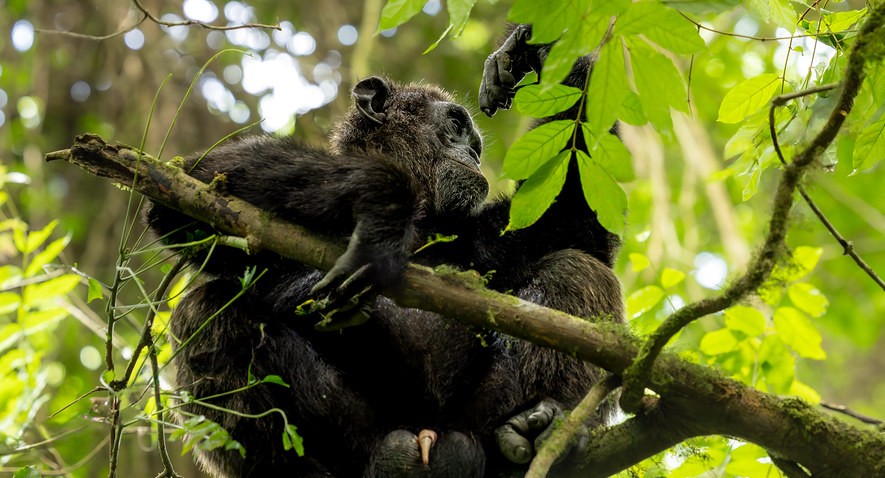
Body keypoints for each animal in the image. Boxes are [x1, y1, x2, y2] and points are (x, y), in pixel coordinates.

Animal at [146, 23, 623, 478]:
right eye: (454, 125)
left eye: (475, 144)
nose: (473, 153)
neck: (427, 219)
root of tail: (427, 439)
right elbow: (193, 189)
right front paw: (381, 201)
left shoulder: (493, 234)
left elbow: (574, 221)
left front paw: (531, 51)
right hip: (354, 431)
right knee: (207, 309)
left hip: (481, 420)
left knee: (576, 270)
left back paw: (543, 426)